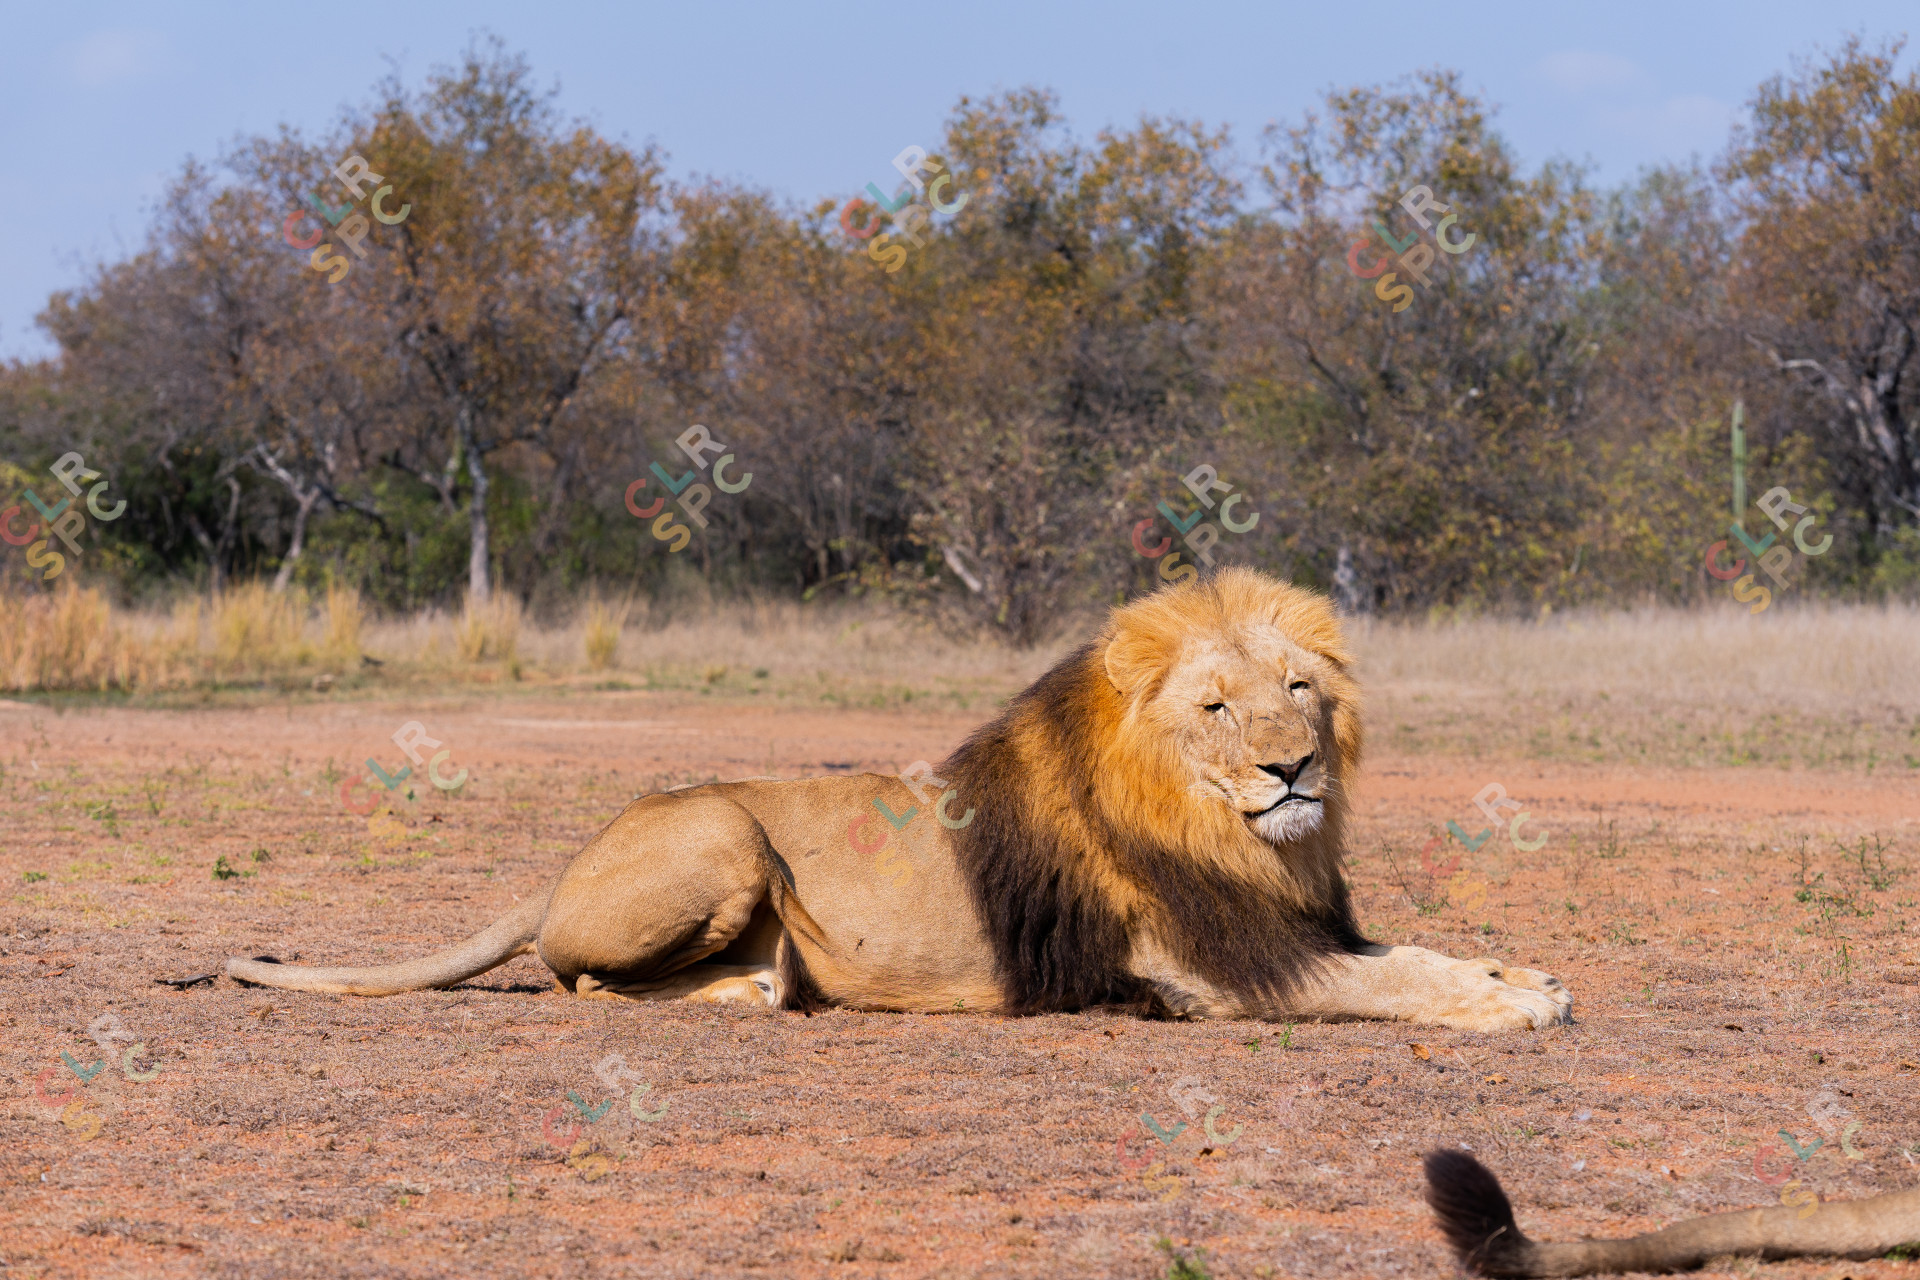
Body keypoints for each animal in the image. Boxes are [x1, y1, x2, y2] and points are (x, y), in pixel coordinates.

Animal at [227, 567, 1573, 1031]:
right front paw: (1511, 1004)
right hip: (726, 832)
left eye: (1300, 688)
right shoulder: (1213, 967)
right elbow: (1392, 980)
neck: (1246, 843)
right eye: (1218, 707)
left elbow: (1414, 949)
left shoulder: (1287, 925)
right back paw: (751, 991)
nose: (1292, 769)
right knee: (586, 983)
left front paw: (1526, 974)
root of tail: (558, 868)